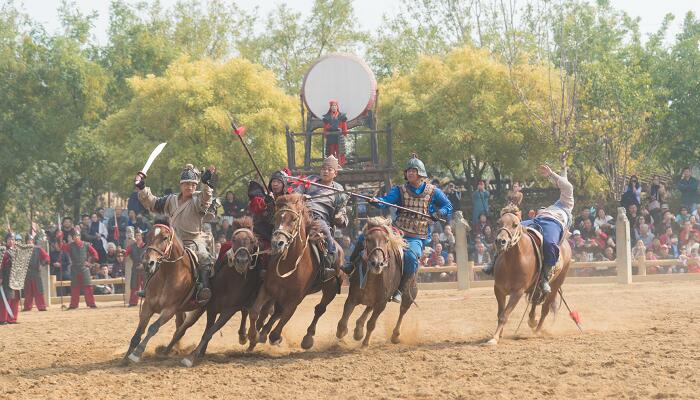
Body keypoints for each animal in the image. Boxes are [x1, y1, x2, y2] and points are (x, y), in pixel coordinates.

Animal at [121, 223, 200, 364]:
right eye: (147, 237)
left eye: (164, 237)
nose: (148, 263)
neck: (168, 275)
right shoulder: (148, 306)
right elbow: (139, 332)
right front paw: (126, 358)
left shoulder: (169, 310)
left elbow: (152, 328)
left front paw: (136, 353)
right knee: (179, 327)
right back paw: (170, 350)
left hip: (198, 310)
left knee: (181, 330)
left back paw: (167, 352)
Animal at [246, 194, 344, 350]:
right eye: (276, 218)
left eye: (293, 219)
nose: (277, 243)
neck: (289, 265)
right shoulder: (267, 289)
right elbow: (255, 312)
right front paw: (253, 336)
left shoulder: (295, 299)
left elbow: (280, 326)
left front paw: (270, 337)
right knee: (277, 312)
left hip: (331, 288)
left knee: (319, 309)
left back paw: (307, 338)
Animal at [334, 216, 416, 346]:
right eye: (367, 239)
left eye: (386, 240)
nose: (377, 263)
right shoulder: (352, 297)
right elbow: (342, 324)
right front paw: (346, 333)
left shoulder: (382, 303)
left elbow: (371, 324)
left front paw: (365, 343)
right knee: (368, 308)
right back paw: (358, 329)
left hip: (409, 294)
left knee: (403, 310)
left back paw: (395, 335)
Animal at [486, 206, 576, 344]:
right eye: (498, 223)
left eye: (515, 224)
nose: (501, 241)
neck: (511, 263)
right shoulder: (498, 289)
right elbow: (500, 313)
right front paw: (499, 334)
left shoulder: (517, 291)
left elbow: (504, 315)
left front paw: (494, 338)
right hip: (536, 287)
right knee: (534, 302)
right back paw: (532, 320)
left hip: (556, 285)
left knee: (545, 309)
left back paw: (537, 330)